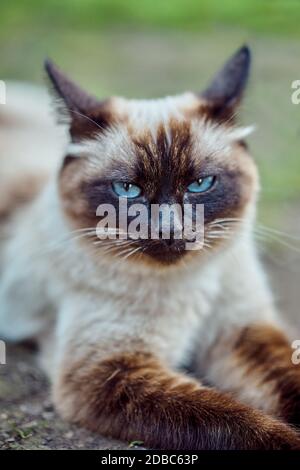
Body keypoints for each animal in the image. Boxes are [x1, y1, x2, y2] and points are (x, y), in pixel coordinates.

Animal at [0, 46, 300, 448]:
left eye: (200, 184)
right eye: (128, 190)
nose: (169, 230)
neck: (189, 282)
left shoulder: (245, 331)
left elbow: (287, 379)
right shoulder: (111, 370)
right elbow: (229, 419)